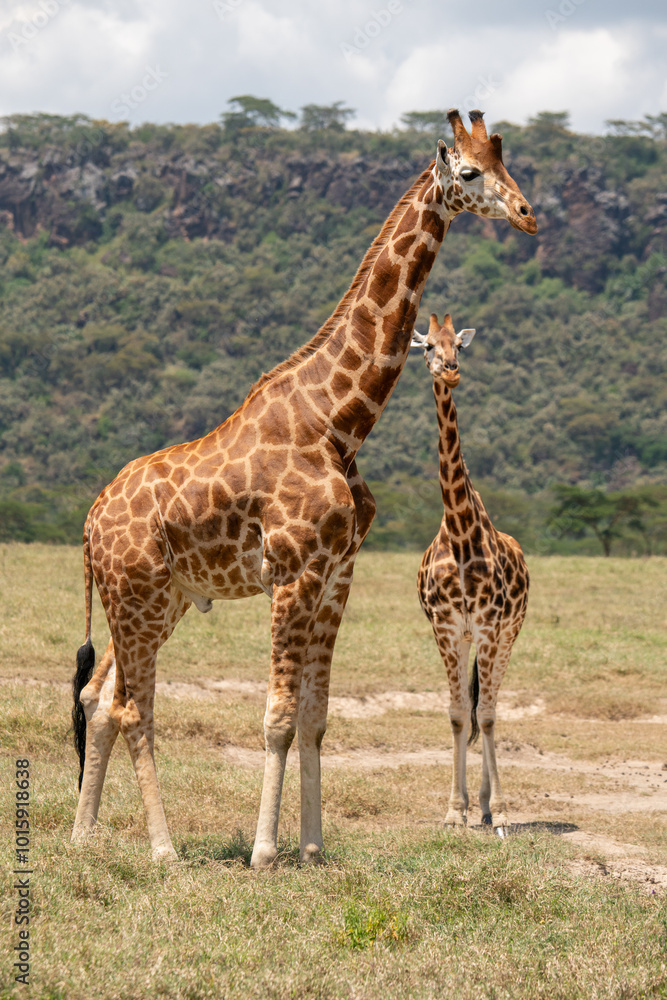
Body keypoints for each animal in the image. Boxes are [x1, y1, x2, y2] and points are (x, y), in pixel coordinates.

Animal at [70, 110, 537, 867]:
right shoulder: (291, 572)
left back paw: (85, 835)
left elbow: (317, 717)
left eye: (508, 166)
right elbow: (278, 716)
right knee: (132, 707)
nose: (527, 215)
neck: (338, 421)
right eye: (469, 172)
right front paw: (265, 852)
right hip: (134, 594)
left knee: (100, 694)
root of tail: (88, 522)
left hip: (160, 598)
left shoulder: (336, 572)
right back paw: (164, 851)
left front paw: (312, 848)